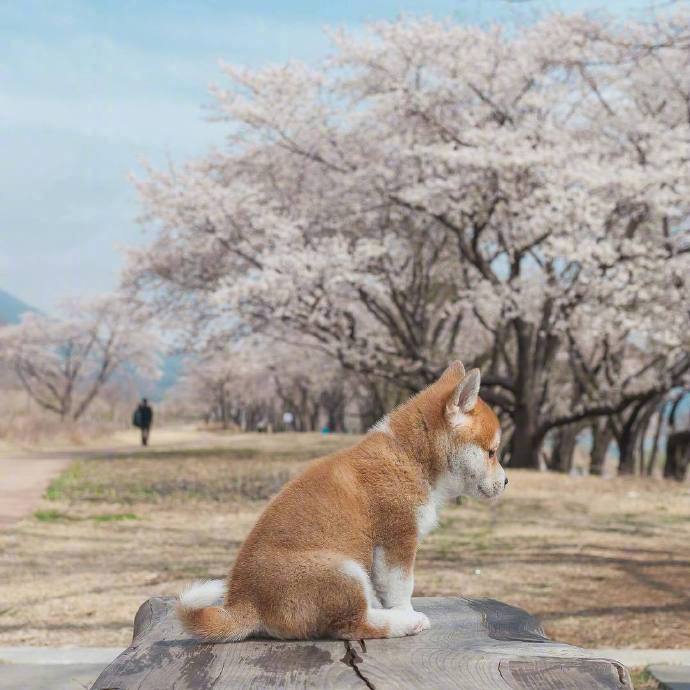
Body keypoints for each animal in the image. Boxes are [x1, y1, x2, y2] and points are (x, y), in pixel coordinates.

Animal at [177, 360, 506, 640]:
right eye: (491, 452)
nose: (506, 481)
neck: (409, 456)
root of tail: (245, 604)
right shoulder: (398, 540)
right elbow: (402, 587)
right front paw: (406, 611)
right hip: (342, 570)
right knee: (352, 624)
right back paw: (405, 622)